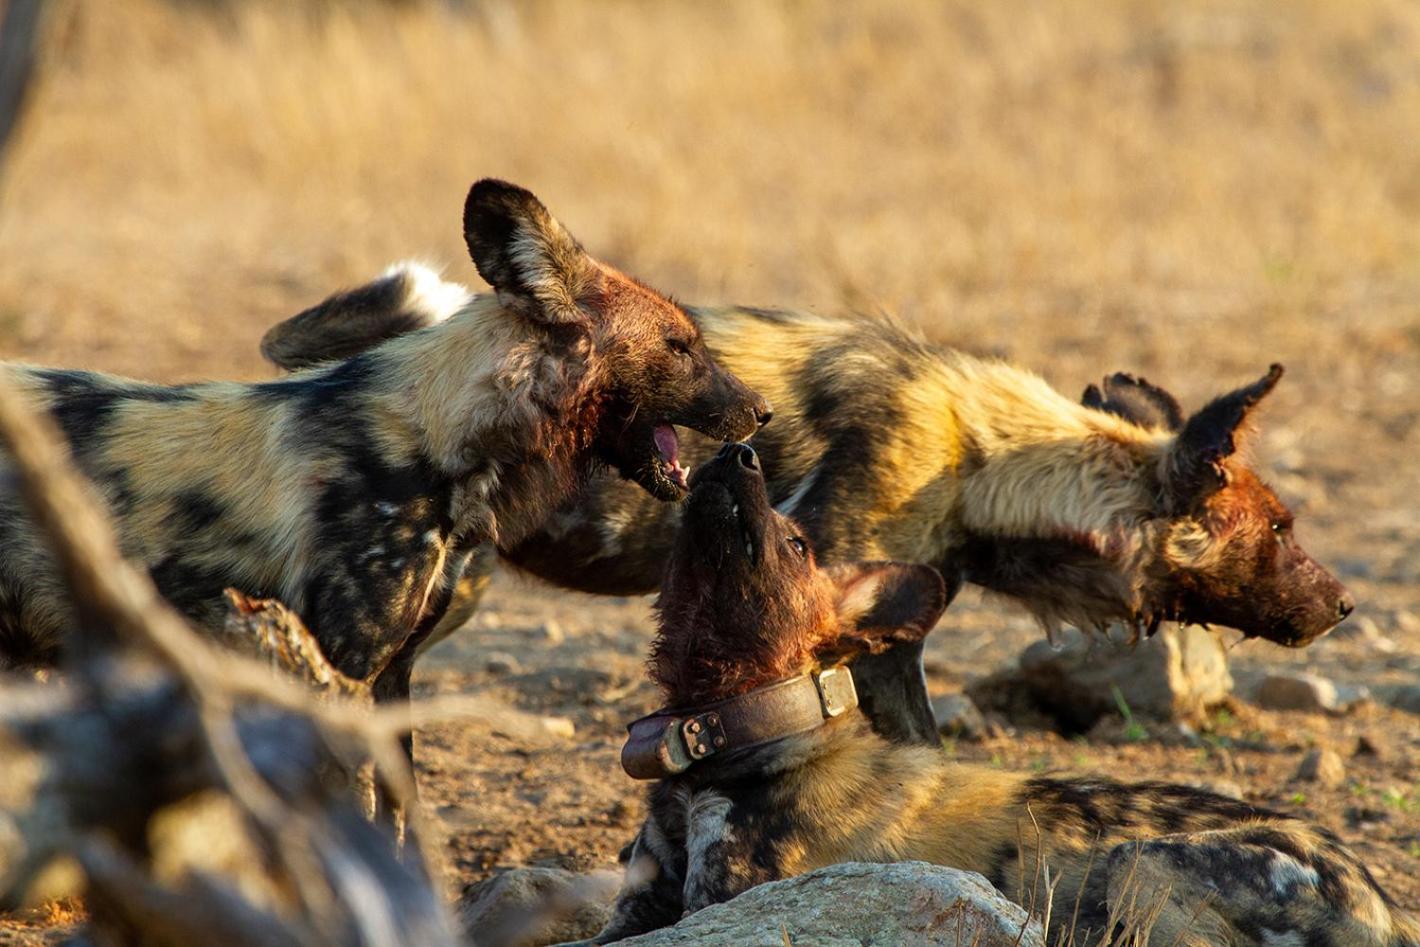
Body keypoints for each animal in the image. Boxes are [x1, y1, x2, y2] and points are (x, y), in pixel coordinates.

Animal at [579, 445, 1420, 947]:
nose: (738, 449)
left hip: (1138, 866)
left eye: (795, 543)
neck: (729, 739)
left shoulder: (714, 911)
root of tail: (1378, 891)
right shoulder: (637, 910)